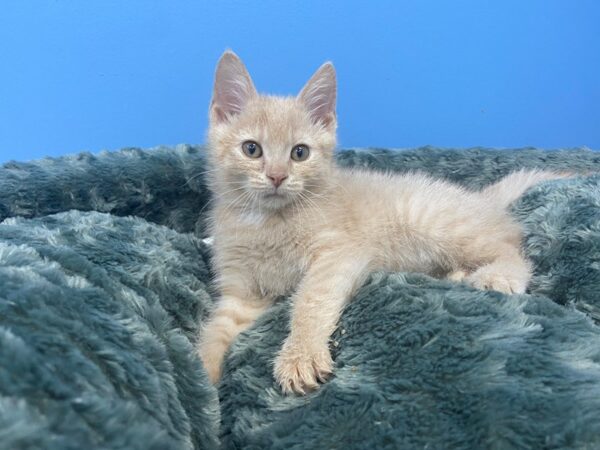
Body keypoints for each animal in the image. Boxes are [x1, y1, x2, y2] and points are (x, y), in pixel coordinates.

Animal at [199, 50, 560, 394]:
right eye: (251, 149)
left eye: (299, 153)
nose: (277, 176)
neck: (266, 221)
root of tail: (481, 199)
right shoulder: (242, 294)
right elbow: (215, 330)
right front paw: (202, 379)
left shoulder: (338, 255)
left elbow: (311, 300)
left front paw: (300, 355)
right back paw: (458, 275)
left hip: (438, 226)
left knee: (512, 246)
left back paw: (498, 275)